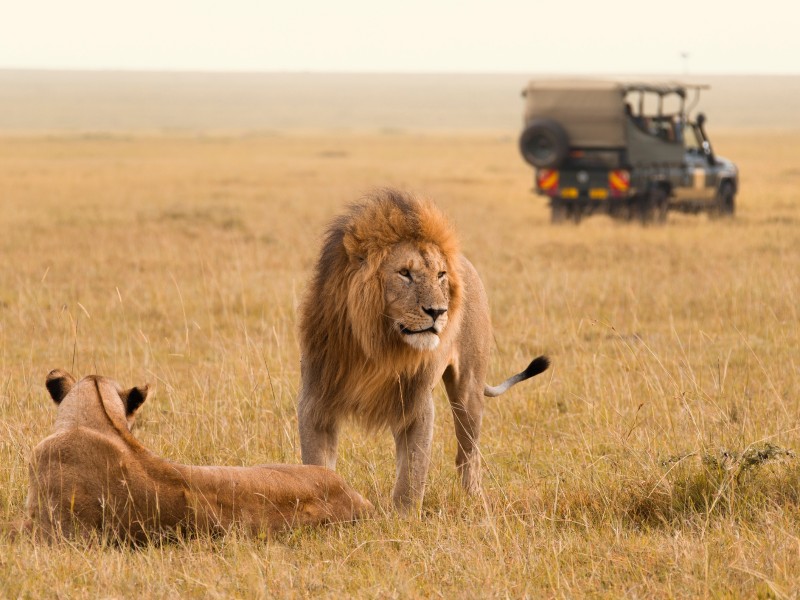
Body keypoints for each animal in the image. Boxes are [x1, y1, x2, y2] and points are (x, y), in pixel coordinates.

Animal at [297, 188, 549, 510]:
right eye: (404, 273)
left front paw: (402, 519)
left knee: (468, 454)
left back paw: (475, 500)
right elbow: (316, 465)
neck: (377, 346)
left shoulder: (416, 404)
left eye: (440, 275)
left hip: (468, 389)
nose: (438, 311)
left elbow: (412, 473)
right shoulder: (316, 400)